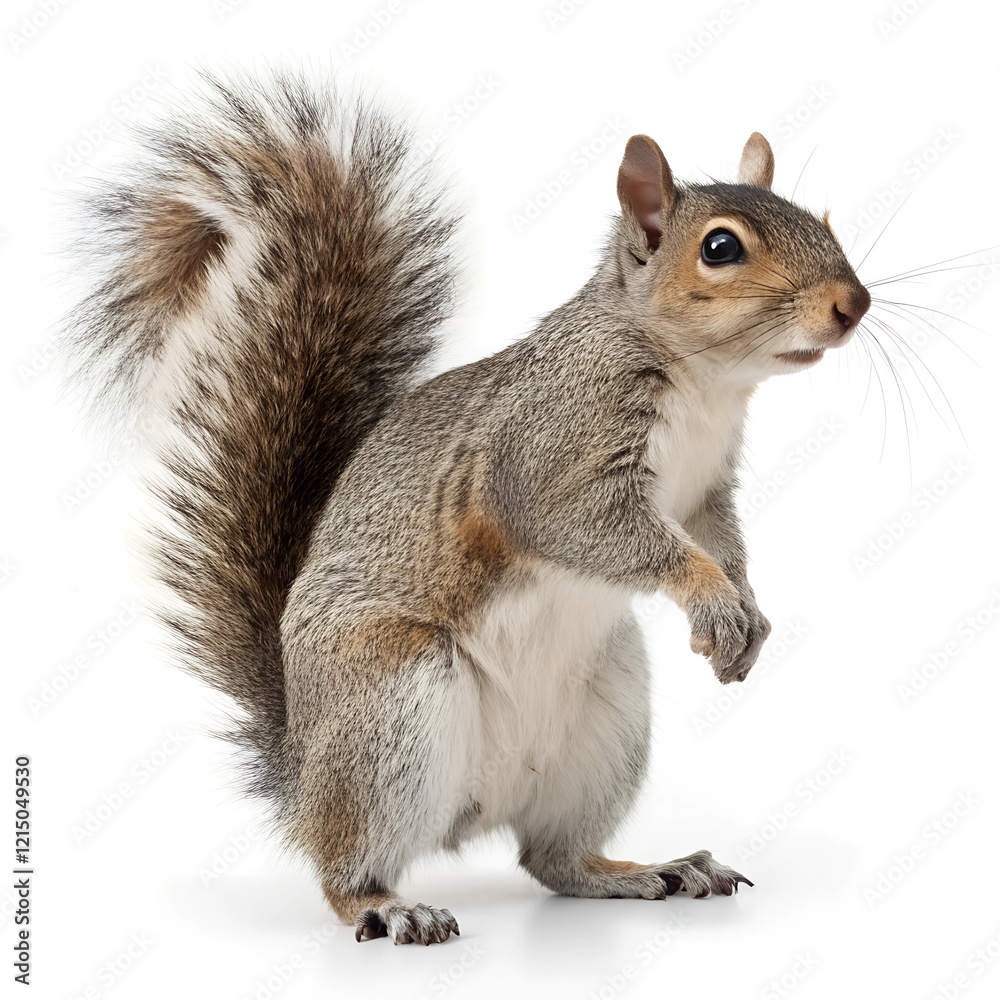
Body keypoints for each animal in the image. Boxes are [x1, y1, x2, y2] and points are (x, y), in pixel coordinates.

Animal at [61, 71, 871, 945]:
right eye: (721, 249)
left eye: (819, 218)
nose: (853, 303)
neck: (703, 383)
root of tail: (301, 764)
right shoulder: (551, 459)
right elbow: (611, 533)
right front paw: (712, 599)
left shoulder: (706, 489)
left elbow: (723, 541)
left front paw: (747, 607)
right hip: (389, 707)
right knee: (346, 866)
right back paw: (388, 907)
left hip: (607, 717)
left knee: (552, 861)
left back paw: (647, 869)